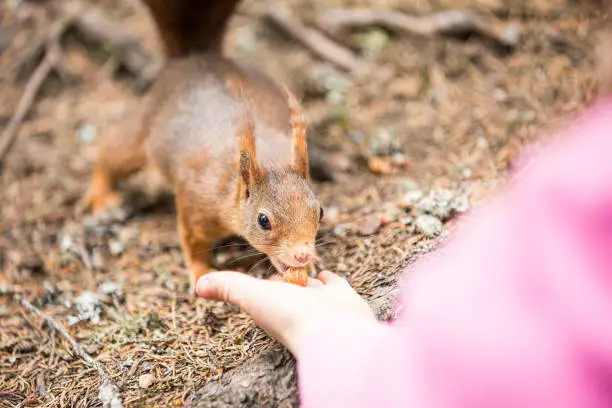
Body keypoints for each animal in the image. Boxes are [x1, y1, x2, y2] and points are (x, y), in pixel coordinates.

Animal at [81, 0, 326, 294]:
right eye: (263, 220)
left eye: (320, 211)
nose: (302, 254)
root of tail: (191, 59)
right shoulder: (196, 205)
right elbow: (193, 242)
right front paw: (201, 271)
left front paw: (310, 266)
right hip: (141, 130)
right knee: (112, 152)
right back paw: (101, 195)